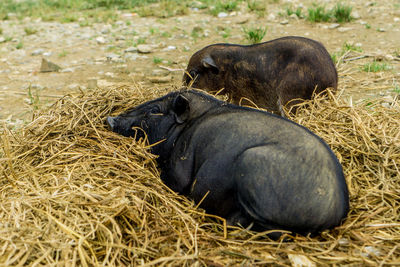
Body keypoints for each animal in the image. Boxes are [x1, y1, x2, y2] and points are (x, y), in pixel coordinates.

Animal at [182, 35, 338, 115]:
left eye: (193, 73)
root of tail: (331, 85)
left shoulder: (240, 97)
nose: (182, 89)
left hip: (289, 98)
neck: (226, 69)